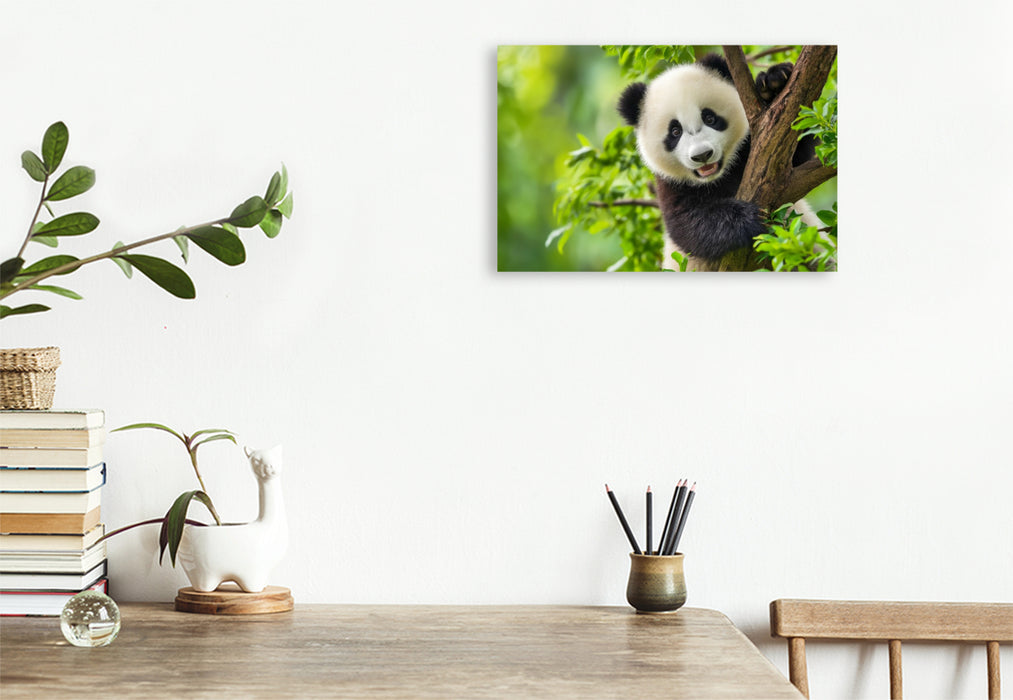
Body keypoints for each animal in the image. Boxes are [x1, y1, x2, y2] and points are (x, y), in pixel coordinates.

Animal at [617, 54, 816, 269]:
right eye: (675, 131)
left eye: (710, 118)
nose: (702, 155)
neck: (717, 179)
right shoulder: (671, 185)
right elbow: (688, 225)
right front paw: (749, 219)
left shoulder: (752, 150)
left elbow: (796, 151)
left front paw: (775, 81)